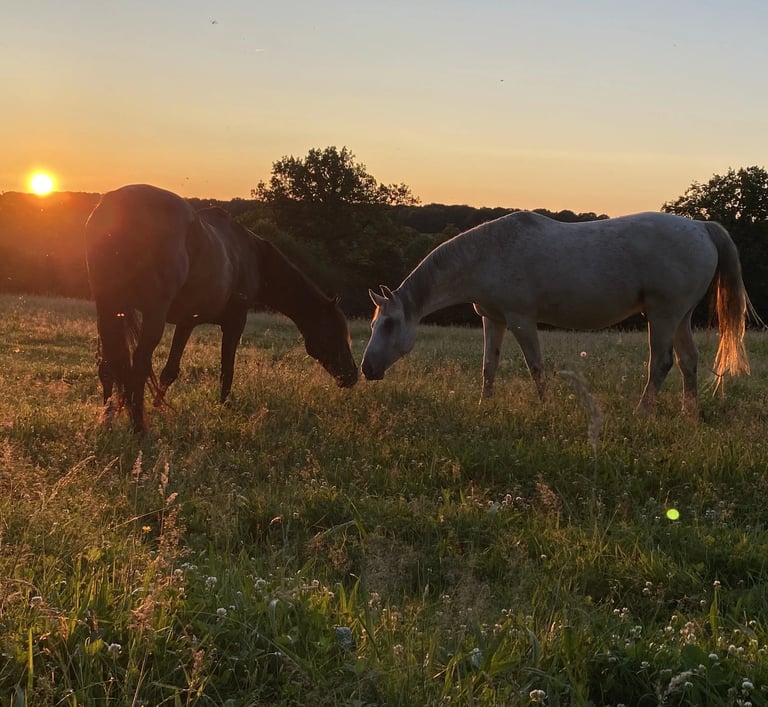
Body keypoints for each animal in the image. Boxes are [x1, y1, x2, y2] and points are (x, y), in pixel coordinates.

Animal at [85, 184, 358, 433]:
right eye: (335, 333)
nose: (352, 376)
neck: (254, 256)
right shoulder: (235, 322)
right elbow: (227, 370)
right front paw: (224, 408)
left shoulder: (187, 321)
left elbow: (169, 371)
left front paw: (158, 406)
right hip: (153, 314)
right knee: (138, 365)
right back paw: (139, 428)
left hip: (109, 308)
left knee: (107, 365)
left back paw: (106, 419)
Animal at [361, 210, 752, 412]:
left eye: (390, 324)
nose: (367, 369)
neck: (488, 254)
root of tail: (701, 227)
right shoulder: (493, 319)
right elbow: (489, 366)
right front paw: (484, 405)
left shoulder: (521, 319)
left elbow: (536, 367)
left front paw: (545, 407)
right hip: (681, 317)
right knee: (688, 362)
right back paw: (690, 416)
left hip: (663, 316)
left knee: (662, 363)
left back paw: (641, 414)